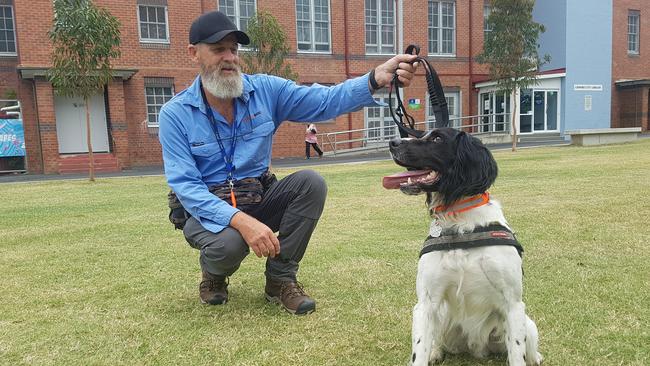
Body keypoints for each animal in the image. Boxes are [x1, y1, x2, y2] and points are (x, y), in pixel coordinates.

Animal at [382, 127, 540, 364]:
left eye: (437, 138)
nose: (393, 142)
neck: (460, 224)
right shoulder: (425, 304)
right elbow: (419, 351)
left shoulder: (513, 304)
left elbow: (516, 353)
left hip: (528, 324)